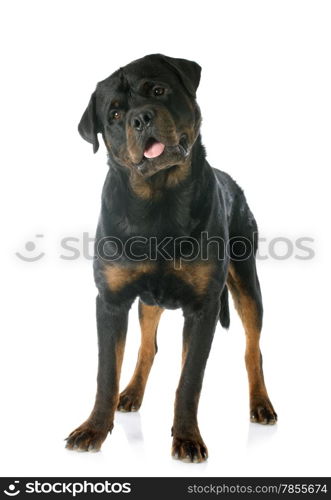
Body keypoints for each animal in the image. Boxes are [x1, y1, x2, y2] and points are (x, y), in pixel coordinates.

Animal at [65, 53, 278, 460]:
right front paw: (94, 429)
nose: (141, 118)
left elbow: (190, 378)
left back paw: (261, 404)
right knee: (148, 346)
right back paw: (131, 393)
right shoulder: (112, 301)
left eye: (158, 90)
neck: (157, 200)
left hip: (247, 281)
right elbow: (106, 372)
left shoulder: (203, 307)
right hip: (150, 302)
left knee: (252, 348)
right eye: (115, 113)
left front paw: (188, 438)